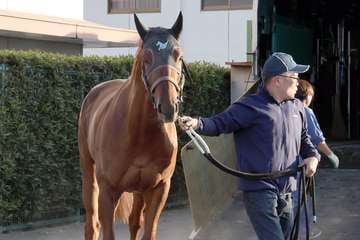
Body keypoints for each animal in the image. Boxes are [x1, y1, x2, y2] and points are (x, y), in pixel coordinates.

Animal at [77, 13, 184, 240]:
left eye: (178, 56)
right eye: (146, 57)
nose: (168, 107)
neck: (138, 132)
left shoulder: (159, 189)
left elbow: (147, 231)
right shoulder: (108, 191)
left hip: (139, 190)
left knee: (134, 222)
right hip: (89, 174)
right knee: (92, 225)